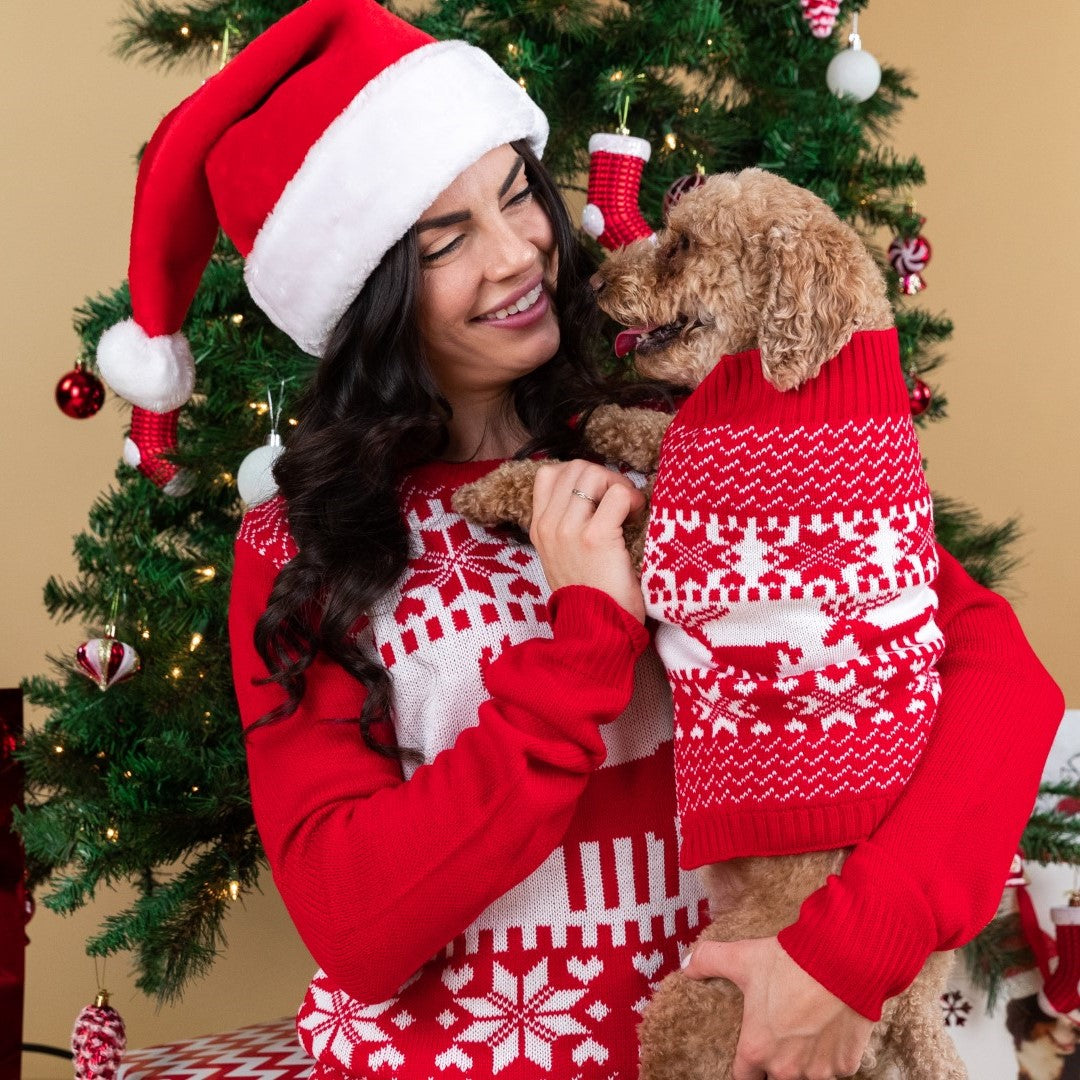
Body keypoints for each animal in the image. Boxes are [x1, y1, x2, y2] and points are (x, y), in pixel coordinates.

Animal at [451, 164, 967, 1075]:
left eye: (686, 244)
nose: (592, 283)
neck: (797, 380)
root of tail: (910, 1006)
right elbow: (659, 430)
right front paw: (611, 420)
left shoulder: (659, 561)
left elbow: (587, 490)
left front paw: (496, 485)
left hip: (703, 997)